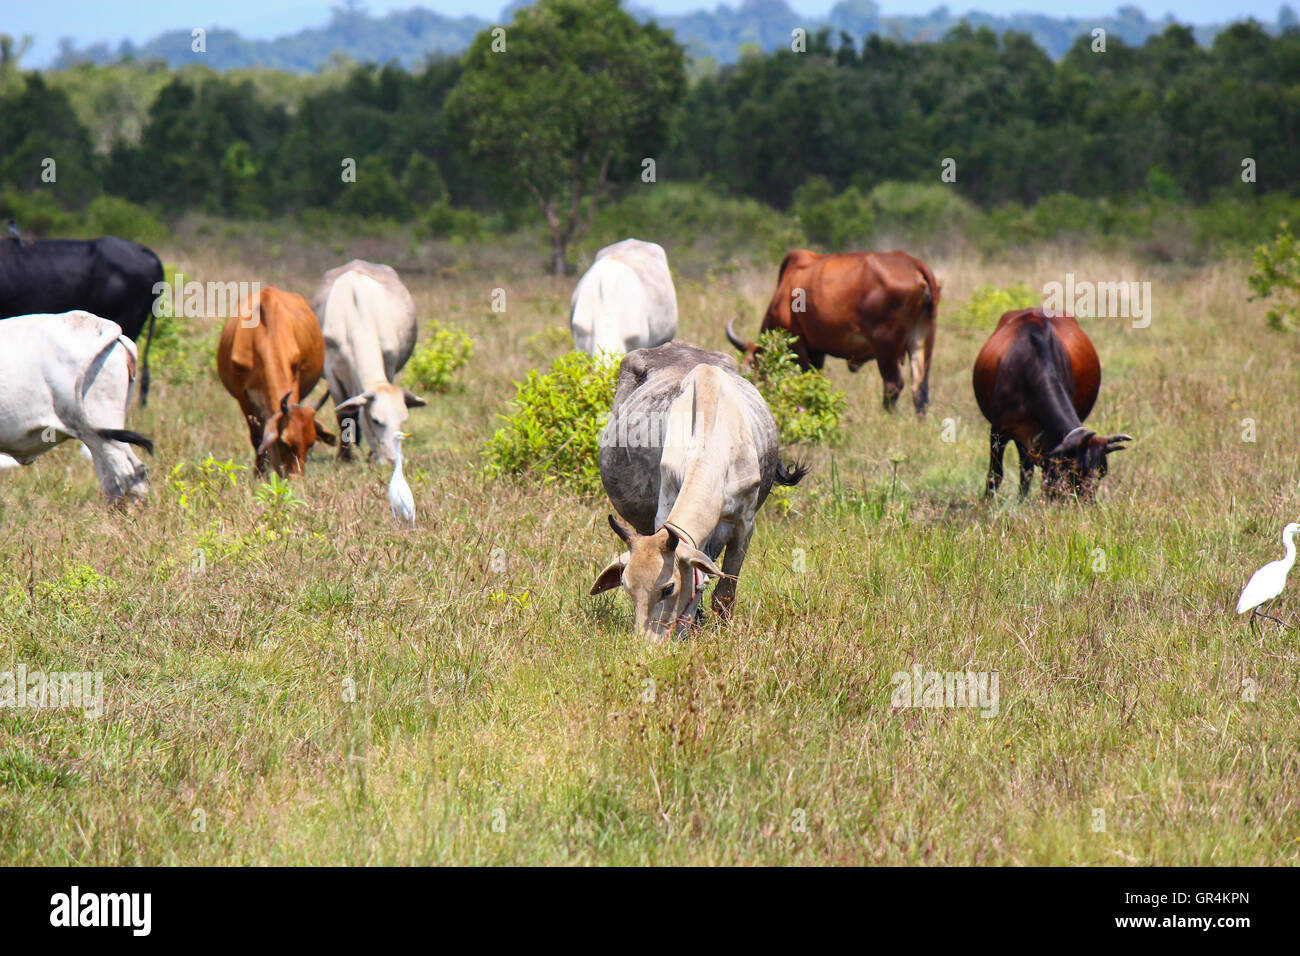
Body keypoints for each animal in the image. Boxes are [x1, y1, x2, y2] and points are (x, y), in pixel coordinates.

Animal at [217, 287, 335, 477]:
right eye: (284, 442)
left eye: (311, 444)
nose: (296, 478)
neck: (264, 334)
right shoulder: (243, 395)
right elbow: (257, 438)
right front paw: (259, 474)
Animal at [310, 260, 425, 464]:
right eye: (376, 420)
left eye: (403, 420)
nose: (392, 460)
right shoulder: (332, 374)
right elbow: (342, 414)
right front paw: (344, 457)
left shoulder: (389, 364)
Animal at [726, 249, 940, 415]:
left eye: (750, 370)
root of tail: (913, 263)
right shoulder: (817, 352)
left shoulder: (797, 345)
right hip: (922, 341)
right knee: (920, 388)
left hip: (885, 347)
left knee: (893, 385)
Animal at [973, 308, 1132, 501]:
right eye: (1076, 470)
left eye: (1102, 473)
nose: (1086, 503)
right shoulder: (998, 432)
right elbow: (995, 475)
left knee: (1026, 470)